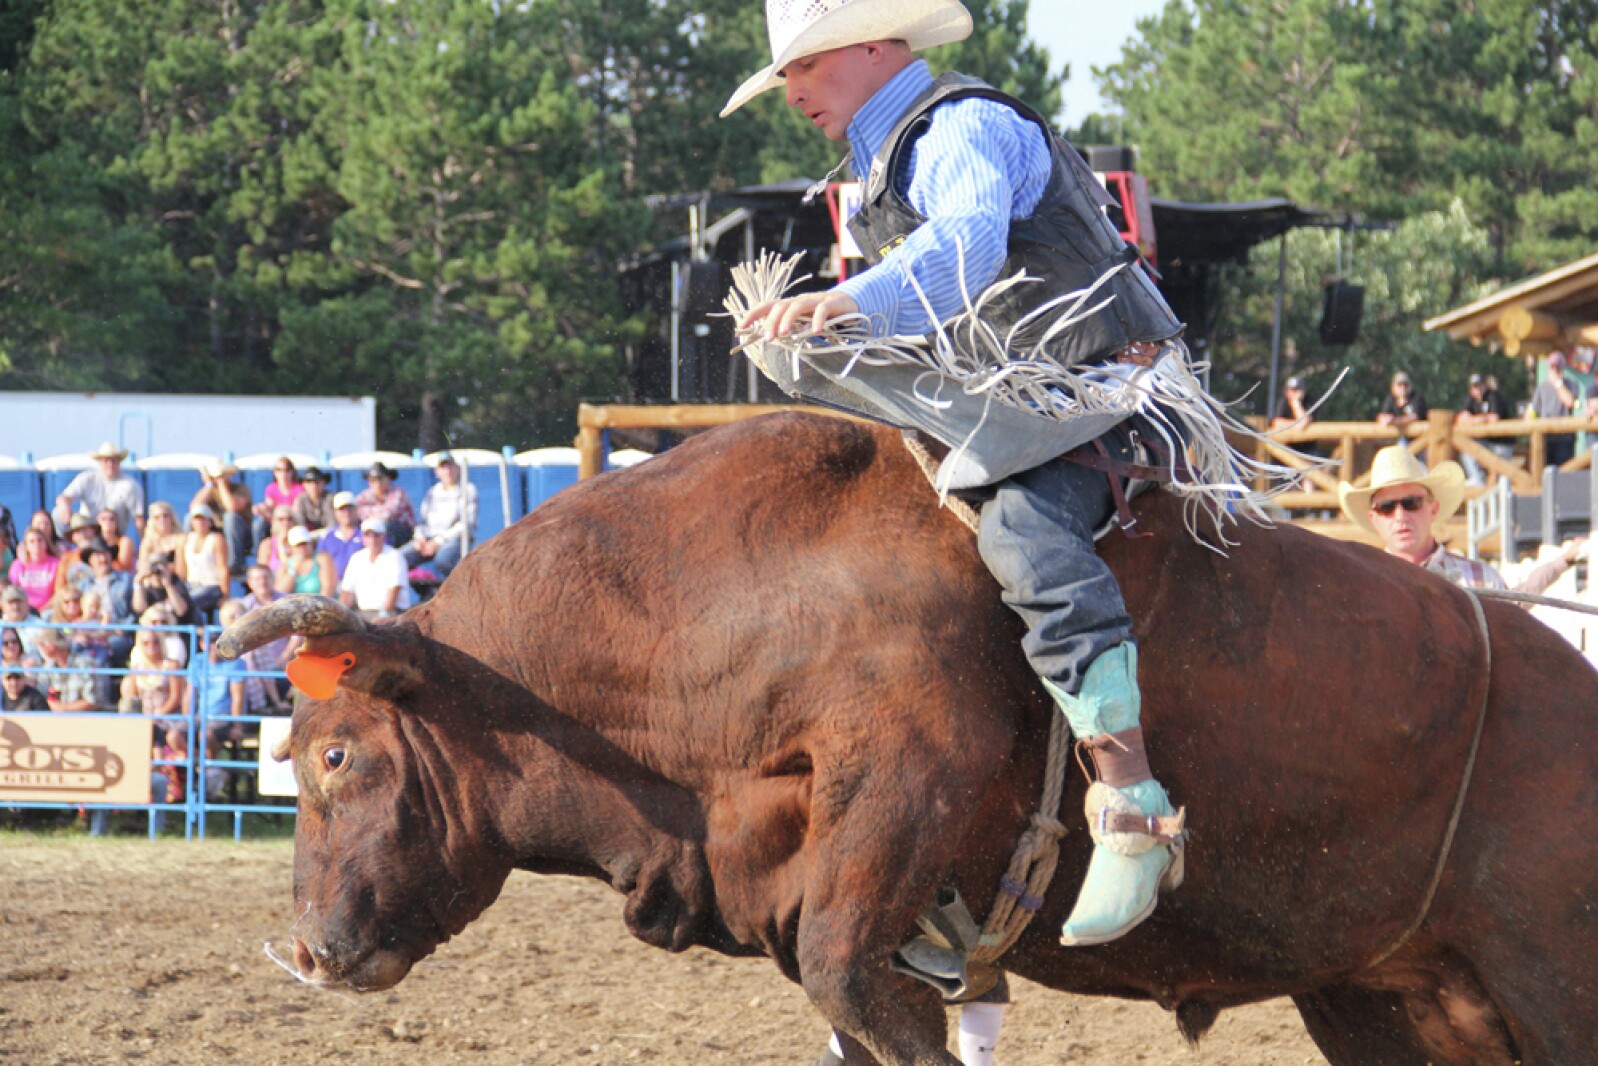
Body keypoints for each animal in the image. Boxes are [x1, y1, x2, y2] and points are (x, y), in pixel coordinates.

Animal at [220, 412, 1598, 1066]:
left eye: (336, 755)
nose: (311, 948)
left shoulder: (897, 799)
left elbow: (864, 992)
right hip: (1382, 1002)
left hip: (1551, 983)